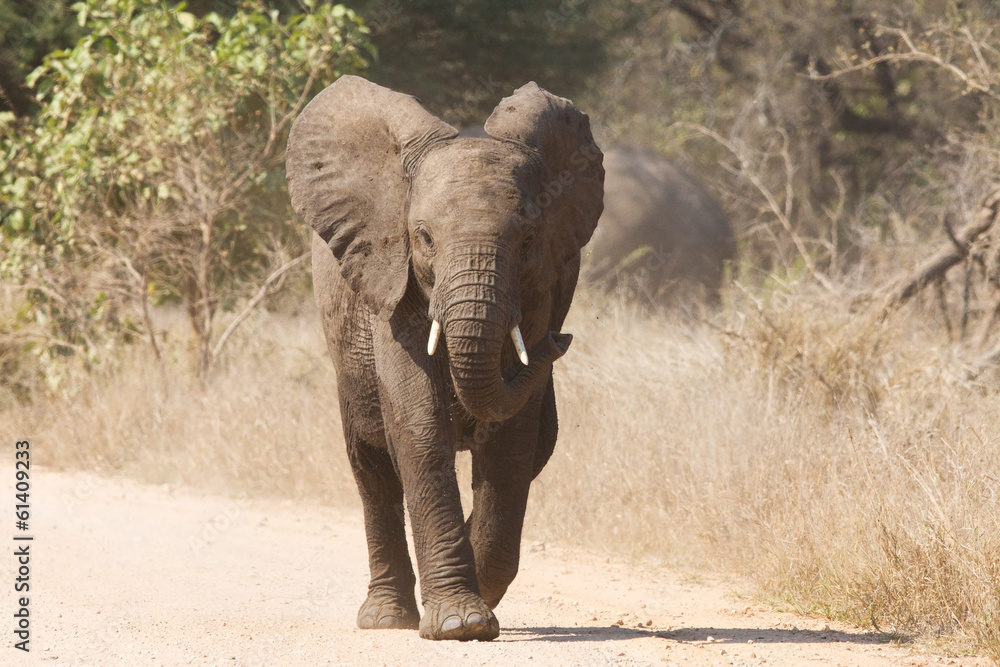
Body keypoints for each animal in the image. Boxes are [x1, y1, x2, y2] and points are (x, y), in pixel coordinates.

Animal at [286, 76, 604, 641]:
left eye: (528, 239)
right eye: (424, 238)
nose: (559, 341)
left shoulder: (538, 292)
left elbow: (511, 440)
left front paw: (475, 605)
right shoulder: (390, 279)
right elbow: (418, 424)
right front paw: (460, 622)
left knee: (538, 445)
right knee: (370, 463)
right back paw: (386, 619)